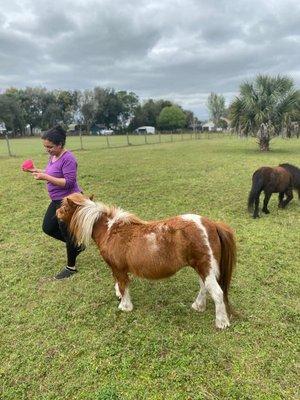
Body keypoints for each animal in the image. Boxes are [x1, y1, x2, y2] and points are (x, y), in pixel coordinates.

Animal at [56, 193, 237, 328]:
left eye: (64, 207)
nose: (56, 212)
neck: (110, 231)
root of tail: (212, 224)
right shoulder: (117, 269)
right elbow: (119, 284)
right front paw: (119, 296)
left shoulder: (118, 268)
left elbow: (123, 285)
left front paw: (125, 306)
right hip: (202, 267)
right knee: (204, 287)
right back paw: (198, 306)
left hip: (204, 267)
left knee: (217, 292)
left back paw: (222, 322)